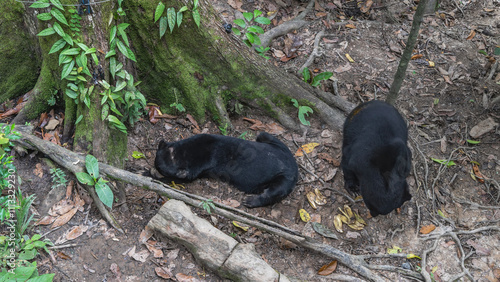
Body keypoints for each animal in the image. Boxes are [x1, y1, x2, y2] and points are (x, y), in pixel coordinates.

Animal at [154, 132, 298, 207]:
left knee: (273, 192)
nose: (155, 167)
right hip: (270, 139)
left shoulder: (196, 171)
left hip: (284, 179)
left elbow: (175, 179)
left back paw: (249, 201)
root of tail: (295, 166)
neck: (186, 152)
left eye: (161, 169)